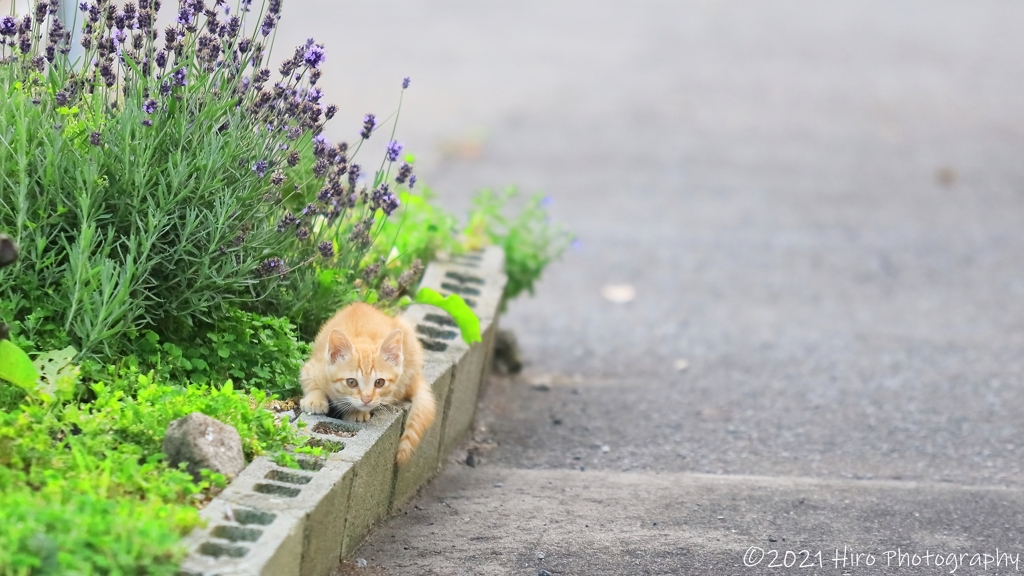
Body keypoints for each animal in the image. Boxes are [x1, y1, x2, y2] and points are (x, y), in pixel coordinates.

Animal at [299, 303, 436, 463]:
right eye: (351, 382)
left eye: (379, 383)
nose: (366, 399)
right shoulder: (312, 367)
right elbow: (309, 381)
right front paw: (314, 400)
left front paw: (357, 411)